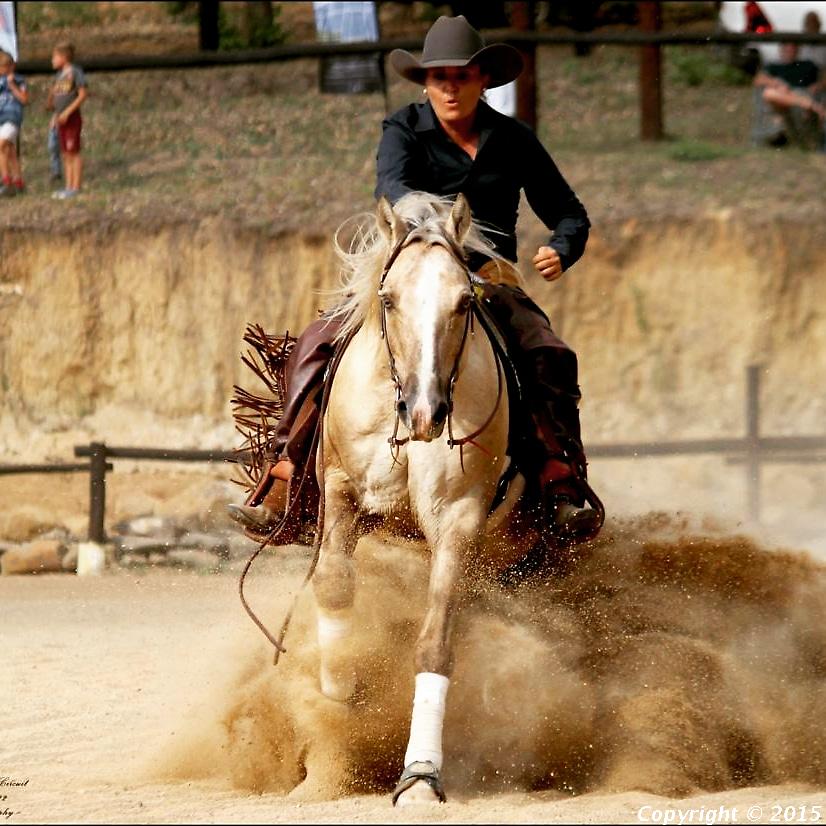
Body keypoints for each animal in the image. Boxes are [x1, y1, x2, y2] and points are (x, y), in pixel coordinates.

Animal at [308, 190, 536, 800]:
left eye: (464, 302)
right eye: (388, 300)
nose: (426, 412)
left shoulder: (458, 517)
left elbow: (436, 641)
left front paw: (420, 774)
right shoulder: (340, 489)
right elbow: (334, 585)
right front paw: (338, 709)